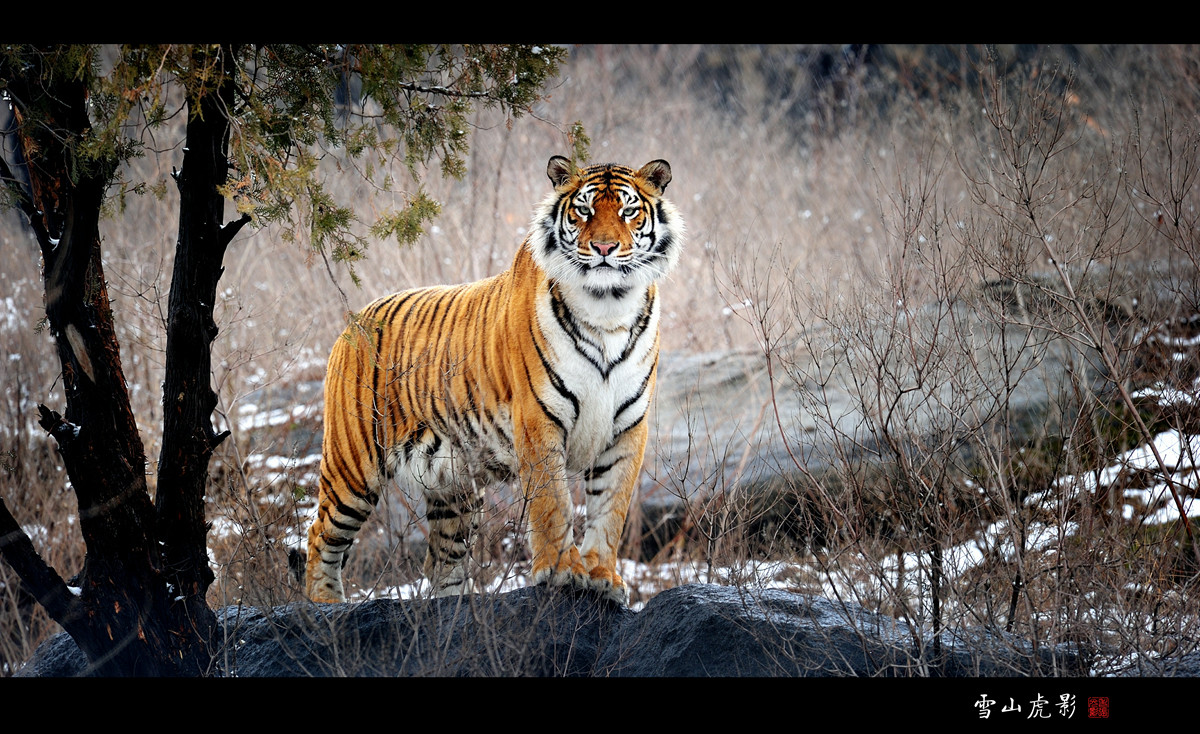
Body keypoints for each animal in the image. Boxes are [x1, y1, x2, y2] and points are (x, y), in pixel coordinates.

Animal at [304, 153, 686, 602]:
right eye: (583, 210)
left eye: (628, 211)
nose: (605, 248)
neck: (608, 307)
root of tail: (352, 322)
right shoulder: (539, 419)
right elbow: (553, 503)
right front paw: (562, 571)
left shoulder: (627, 427)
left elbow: (611, 507)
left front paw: (602, 576)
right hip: (353, 465)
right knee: (319, 535)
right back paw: (325, 605)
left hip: (453, 488)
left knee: (442, 561)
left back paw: (455, 606)